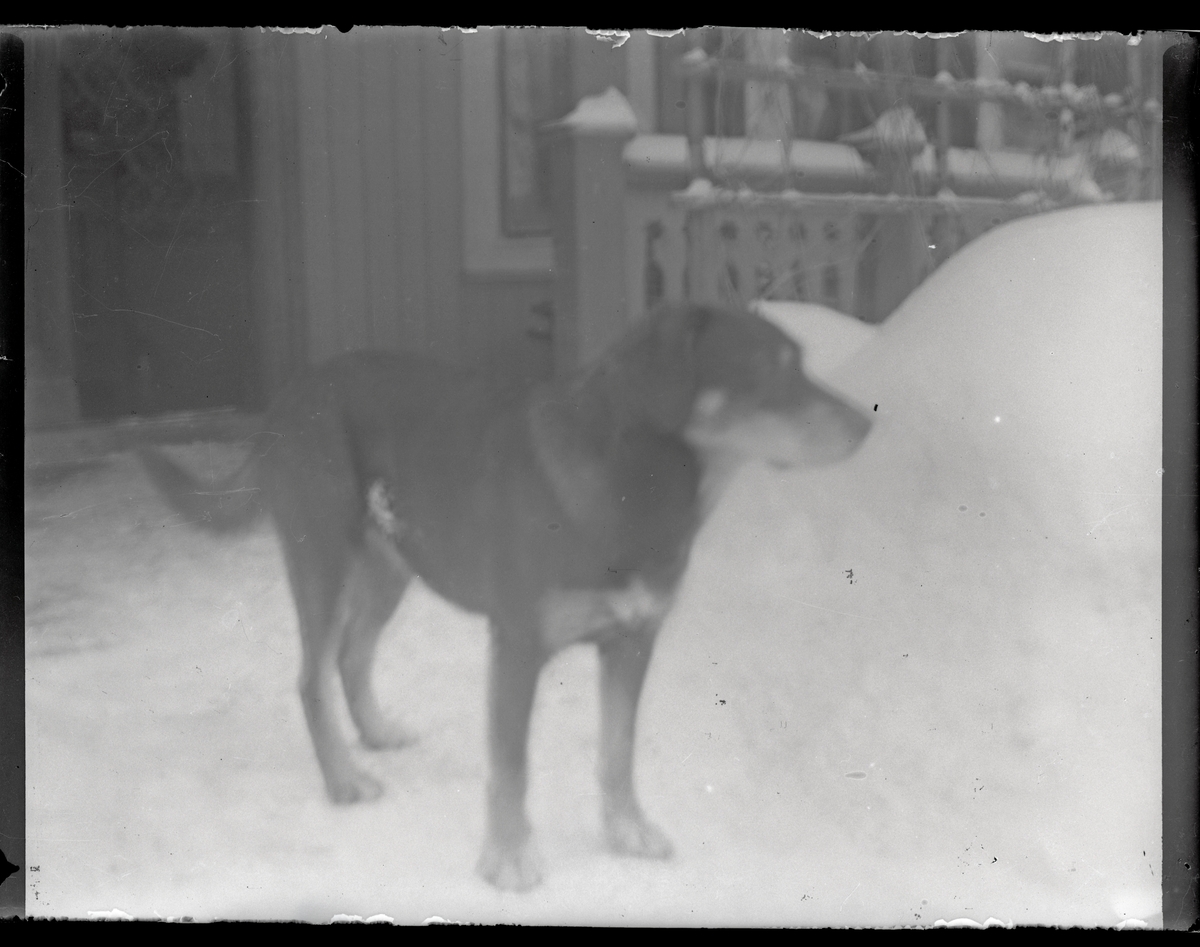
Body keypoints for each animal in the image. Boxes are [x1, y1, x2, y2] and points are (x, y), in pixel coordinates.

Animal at [142, 304, 873, 892]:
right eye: (771, 368)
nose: (868, 426)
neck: (636, 488)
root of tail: (293, 390)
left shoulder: (632, 642)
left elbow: (618, 752)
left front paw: (626, 830)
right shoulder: (518, 647)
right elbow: (513, 767)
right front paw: (509, 859)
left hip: (391, 564)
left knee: (353, 655)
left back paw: (375, 731)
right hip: (323, 555)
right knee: (312, 675)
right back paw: (344, 780)